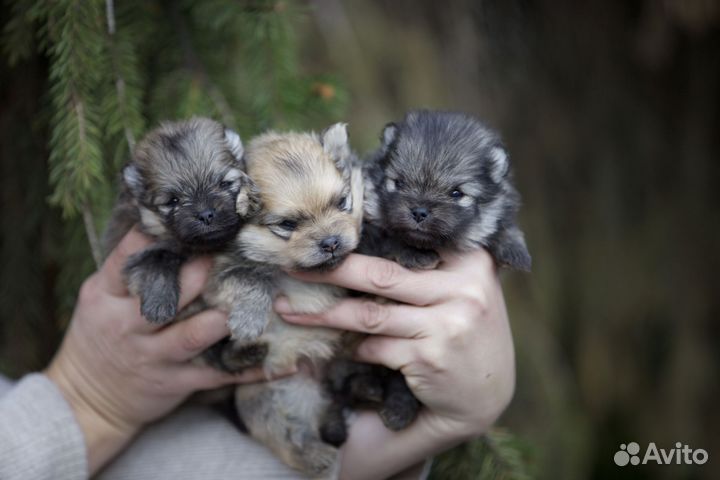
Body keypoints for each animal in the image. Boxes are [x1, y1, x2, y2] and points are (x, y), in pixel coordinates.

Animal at [101, 118, 258, 324]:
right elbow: (159, 257)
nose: (206, 215)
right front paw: (159, 301)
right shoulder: (134, 255)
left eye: (224, 184)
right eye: (173, 201)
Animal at [200, 123, 362, 476]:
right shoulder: (222, 273)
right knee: (290, 442)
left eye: (342, 202)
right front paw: (249, 321)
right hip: (260, 400)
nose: (331, 242)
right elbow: (253, 279)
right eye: (288, 225)